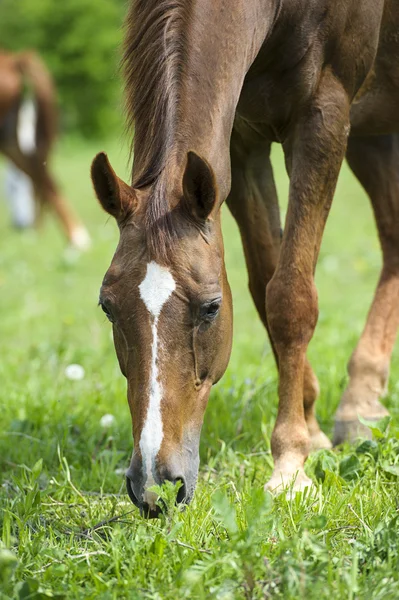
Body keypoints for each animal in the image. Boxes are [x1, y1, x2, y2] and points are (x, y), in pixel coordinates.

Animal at [90, 1, 399, 516]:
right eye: (108, 307)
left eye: (211, 308)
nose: (155, 485)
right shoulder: (242, 141)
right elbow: (264, 281)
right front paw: (312, 430)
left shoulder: (323, 116)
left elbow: (291, 297)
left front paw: (290, 467)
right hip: (372, 130)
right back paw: (361, 404)